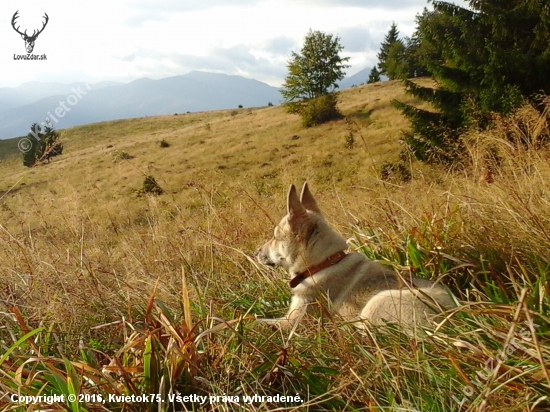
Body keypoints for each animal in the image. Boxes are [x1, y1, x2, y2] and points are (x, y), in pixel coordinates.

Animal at [256, 183, 460, 332]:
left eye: (275, 237)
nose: (256, 252)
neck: (324, 263)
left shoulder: (292, 321)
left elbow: (257, 319)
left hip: (377, 302)